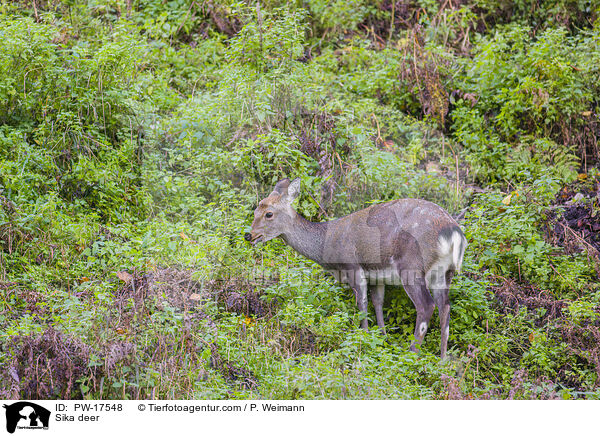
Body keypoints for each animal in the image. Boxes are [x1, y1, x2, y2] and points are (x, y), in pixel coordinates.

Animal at [244, 177, 464, 358]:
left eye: (269, 214)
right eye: (255, 211)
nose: (249, 235)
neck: (327, 247)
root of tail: (453, 232)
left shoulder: (352, 265)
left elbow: (362, 304)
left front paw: (363, 339)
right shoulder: (376, 275)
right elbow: (377, 303)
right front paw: (382, 338)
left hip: (412, 265)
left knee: (426, 305)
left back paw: (411, 354)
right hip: (444, 272)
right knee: (445, 306)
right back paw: (443, 359)